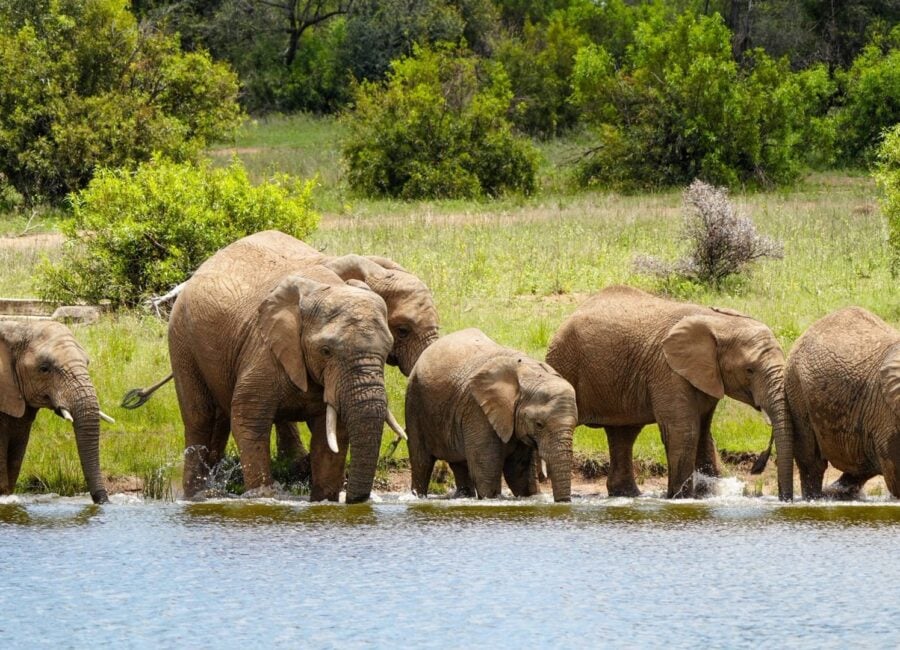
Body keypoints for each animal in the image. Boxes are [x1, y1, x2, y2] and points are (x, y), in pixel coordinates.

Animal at [168, 231, 398, 502]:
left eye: (388, 351)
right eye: (326, 351)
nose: (354, 499)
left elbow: (332, 433)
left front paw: (324, 500)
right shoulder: (263, 350)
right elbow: (248, 419)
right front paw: (263, 496)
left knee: (219, 419)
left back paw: (208, 493)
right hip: (182, 340)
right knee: (200, 418)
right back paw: (196, 497)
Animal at [405, 328, 576, 502]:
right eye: (539, 424)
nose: (563, 502)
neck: (532, 374)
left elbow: (519, 475)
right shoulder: (478, 411)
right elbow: (486, 475)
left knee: (459, 464)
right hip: (414, 401)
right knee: (421, 462)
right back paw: (418, 496)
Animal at [545, 285, 792, 500]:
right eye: (749, 370)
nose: (758, 467)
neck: (720, 322)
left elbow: (704, 433)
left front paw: (707, 496)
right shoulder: (669, 370)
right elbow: (684, 432)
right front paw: (681, 498)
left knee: (624, 433)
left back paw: (628, 495)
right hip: (565, 363)